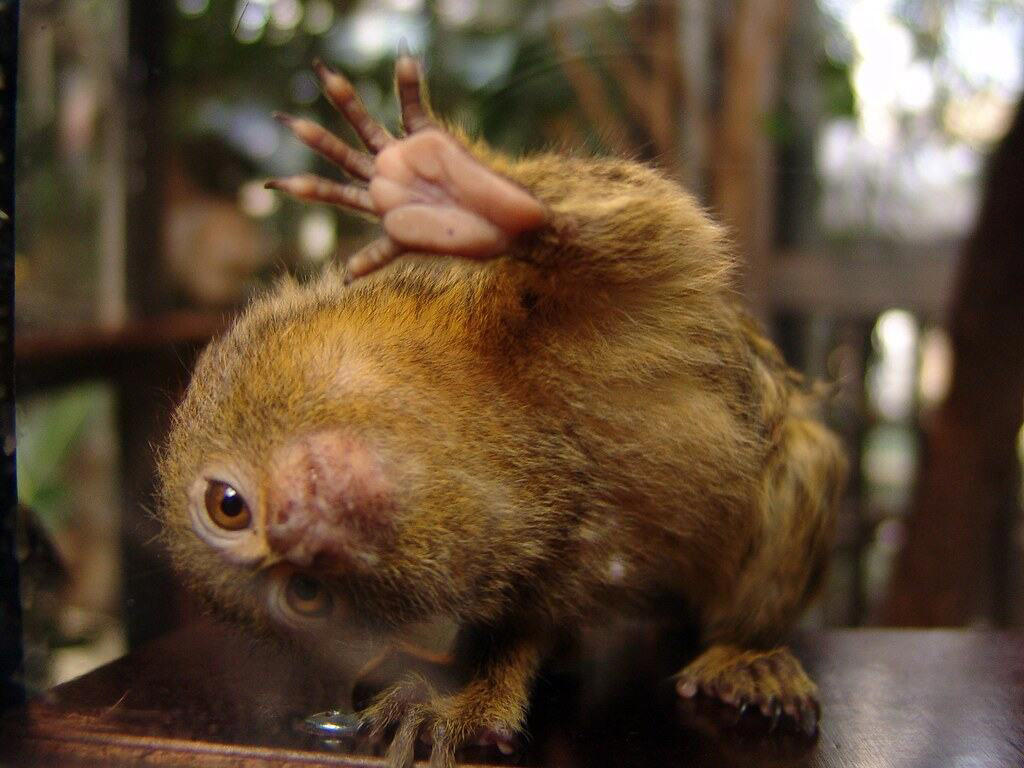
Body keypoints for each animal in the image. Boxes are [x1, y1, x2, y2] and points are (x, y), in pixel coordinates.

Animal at [157, 51, 846, 768]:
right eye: (307, 594)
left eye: (227, 506)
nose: (301, 540)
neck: (519, 414)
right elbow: (528, 627)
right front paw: (466, 698)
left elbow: (655, 224)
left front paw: (445, 193)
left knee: (804, 457)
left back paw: (746, 651)